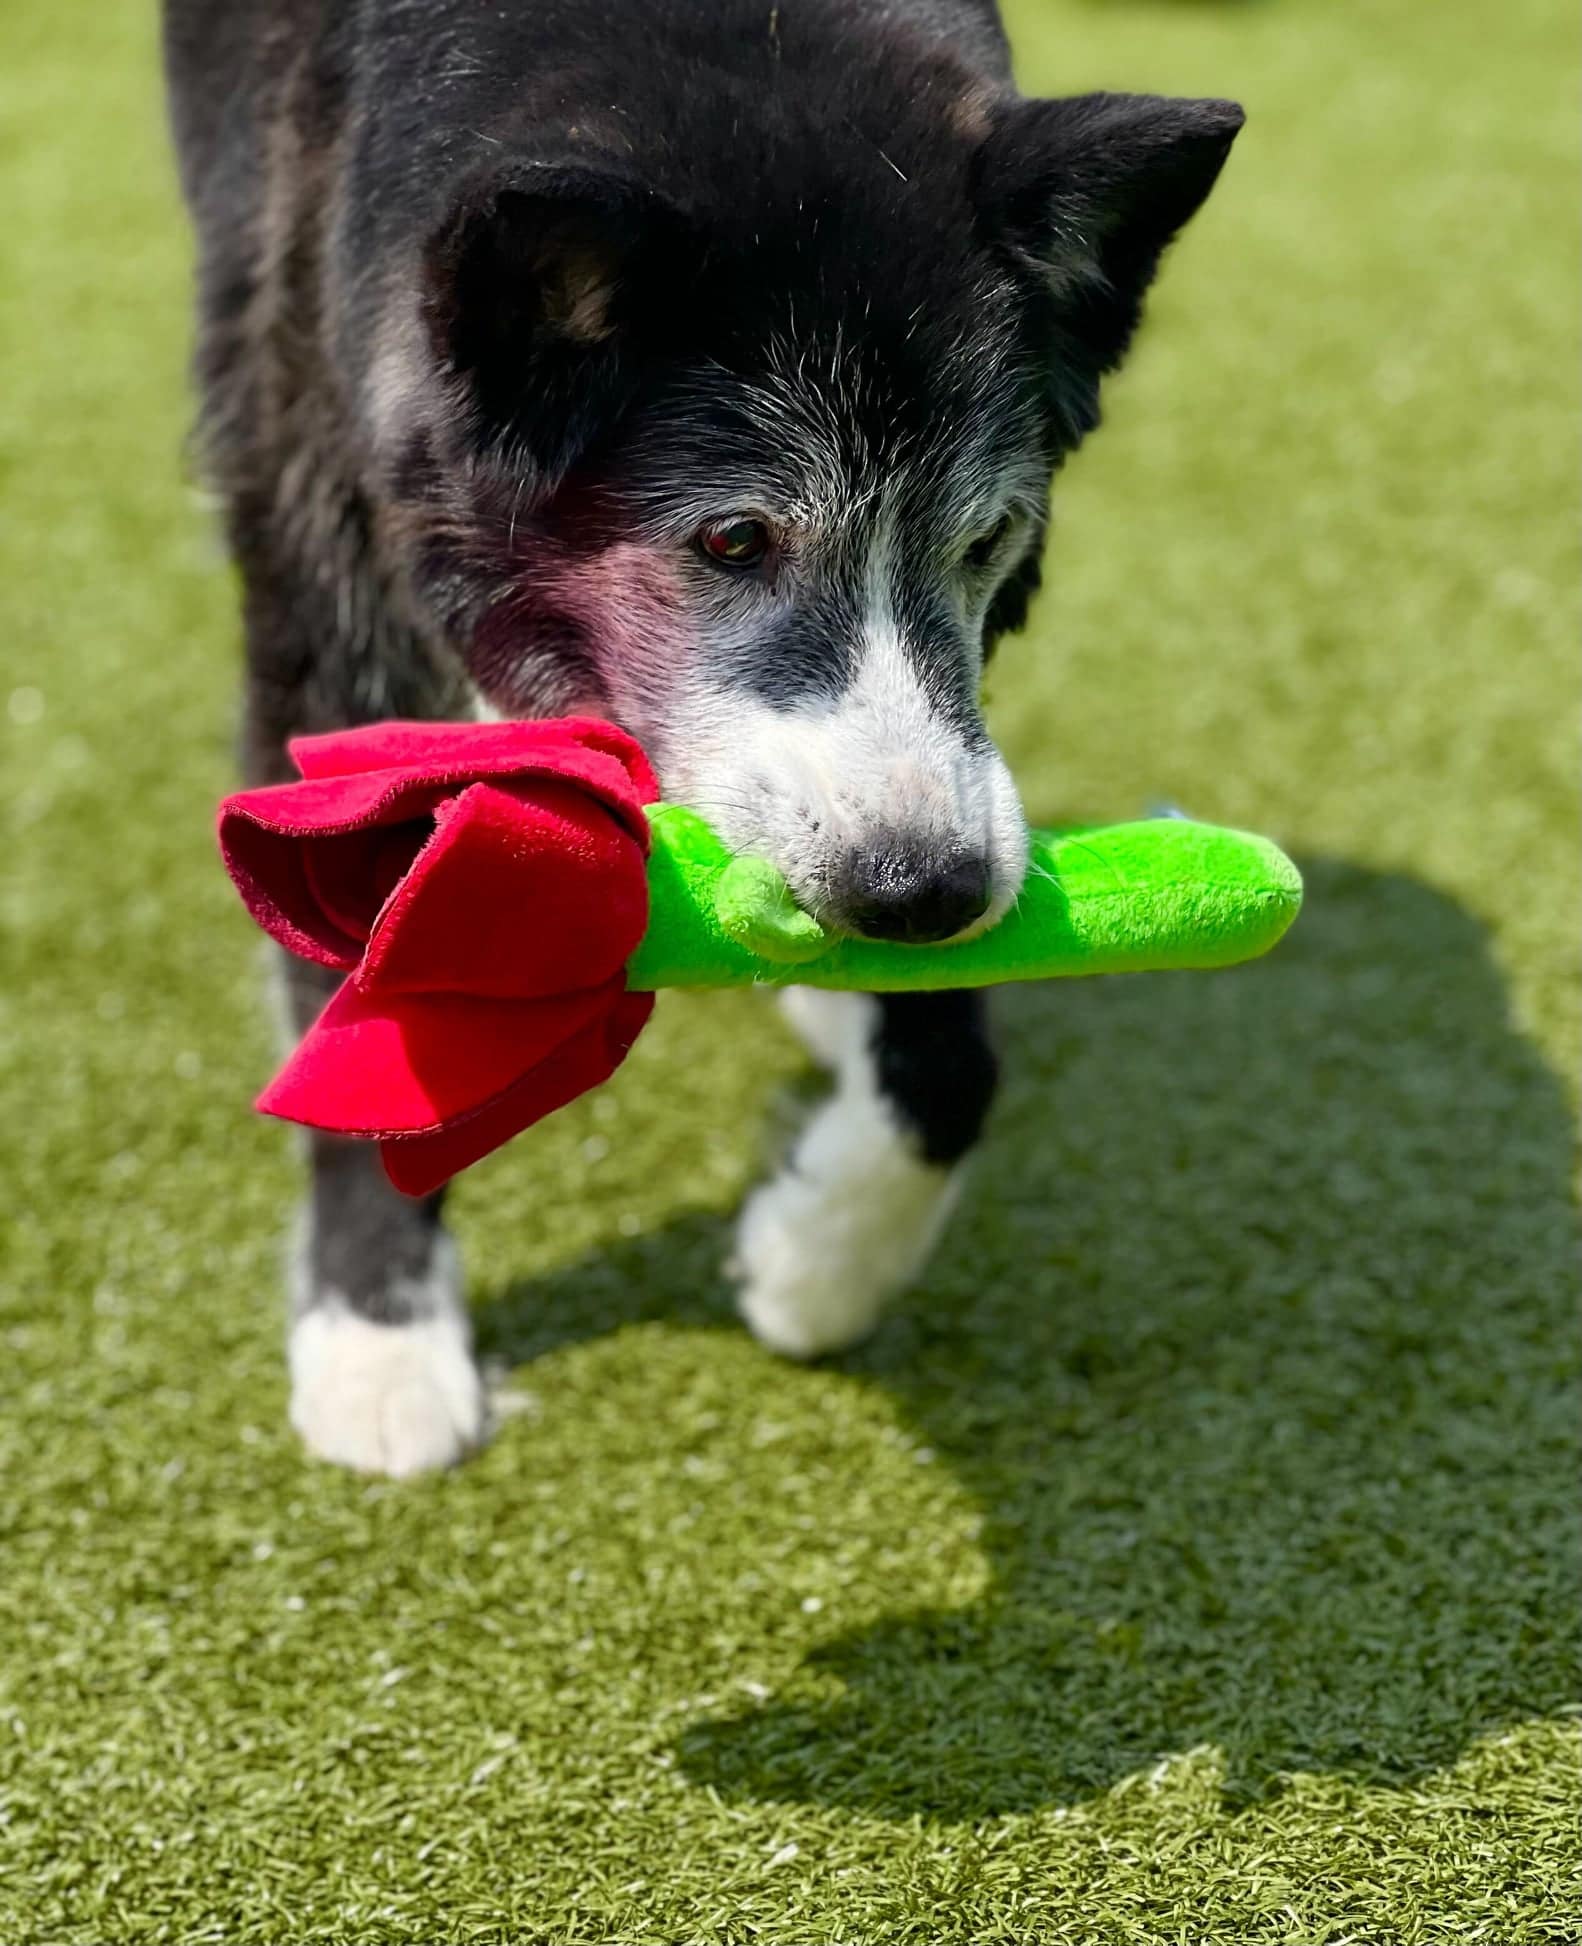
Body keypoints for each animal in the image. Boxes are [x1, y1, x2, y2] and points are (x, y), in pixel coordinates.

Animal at [163, 0, 1245, 1463]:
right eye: (732, 538)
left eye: (986, 538)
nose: (919, 892)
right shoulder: (324, 570)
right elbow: (358, 969)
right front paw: (379, 1330)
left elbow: (952, 1060)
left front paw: (820, 1262)